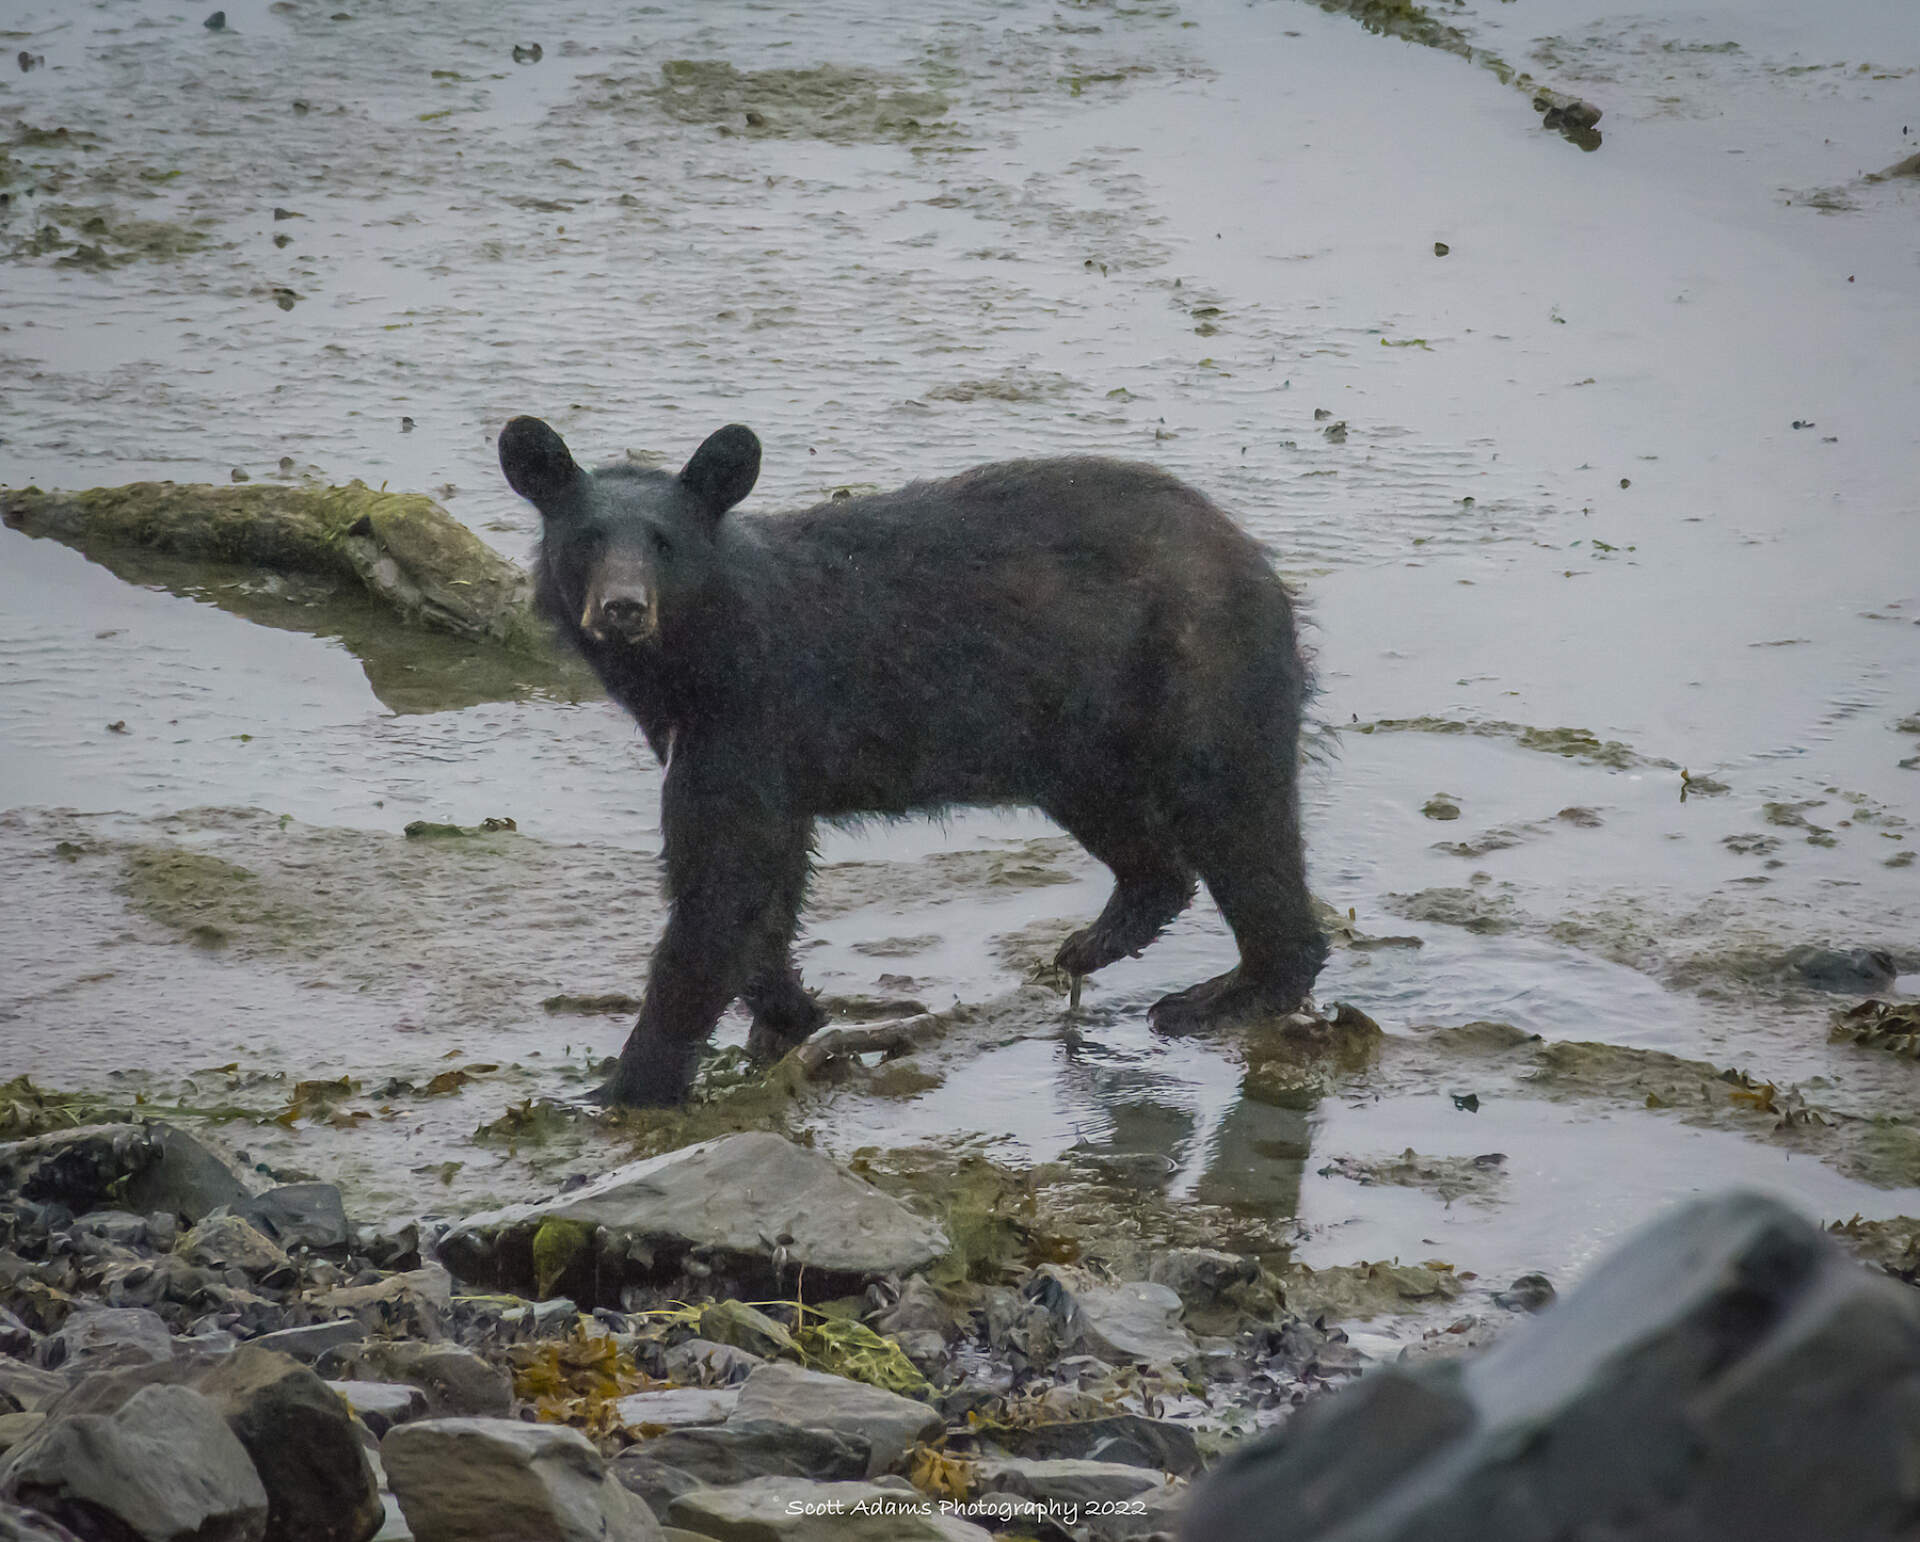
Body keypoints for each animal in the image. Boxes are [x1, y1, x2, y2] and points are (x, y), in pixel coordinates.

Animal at [503, 416, 1328, 1106]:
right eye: (588, 538)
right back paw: (1097, 943)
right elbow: (762, 886)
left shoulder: (748, 717)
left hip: (1202, 673)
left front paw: (622, 1087)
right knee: (1151, 845)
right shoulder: (738, 748)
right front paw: (791, 1015)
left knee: (1239, 819)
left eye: (662, 542)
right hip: (1081, 740)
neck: (698, 662)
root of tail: (1258, 558)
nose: (623, 608)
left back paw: (1225, 995)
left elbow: (720, 884)